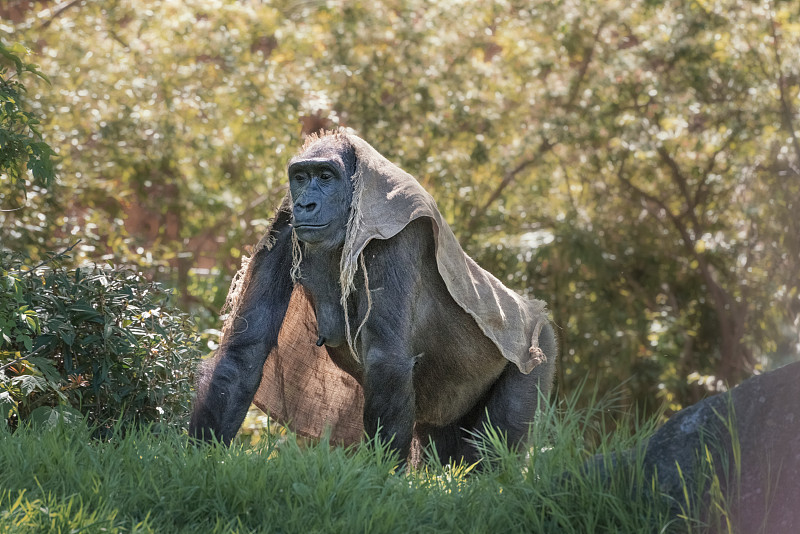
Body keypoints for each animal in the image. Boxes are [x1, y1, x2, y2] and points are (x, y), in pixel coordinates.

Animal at [192, 131, 556, 464]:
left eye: (325, 177)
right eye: (301, 178)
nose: (306, 204)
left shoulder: (394, 229)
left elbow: (386, 361)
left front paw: (381, 479)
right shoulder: (285, 218)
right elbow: (246, 351)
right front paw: (199, 460)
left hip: (538, 350)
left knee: (498, 444)